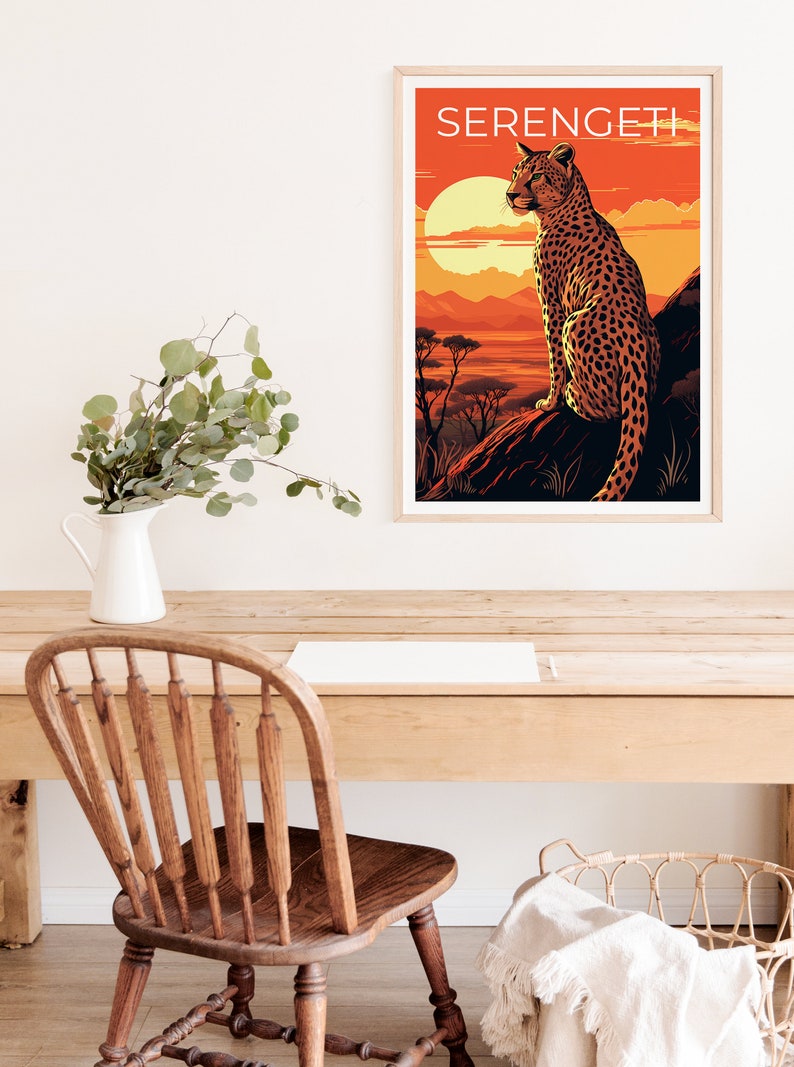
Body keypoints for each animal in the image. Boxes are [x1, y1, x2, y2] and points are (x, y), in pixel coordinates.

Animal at [506, 141, 661, 502]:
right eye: (515, 172)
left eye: (536, 175)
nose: (510, 194)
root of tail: (635, 337)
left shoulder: (552, 306)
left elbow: (554, 359)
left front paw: (550, 403)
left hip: (574, 324)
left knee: (612, 410)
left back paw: (574, 395)